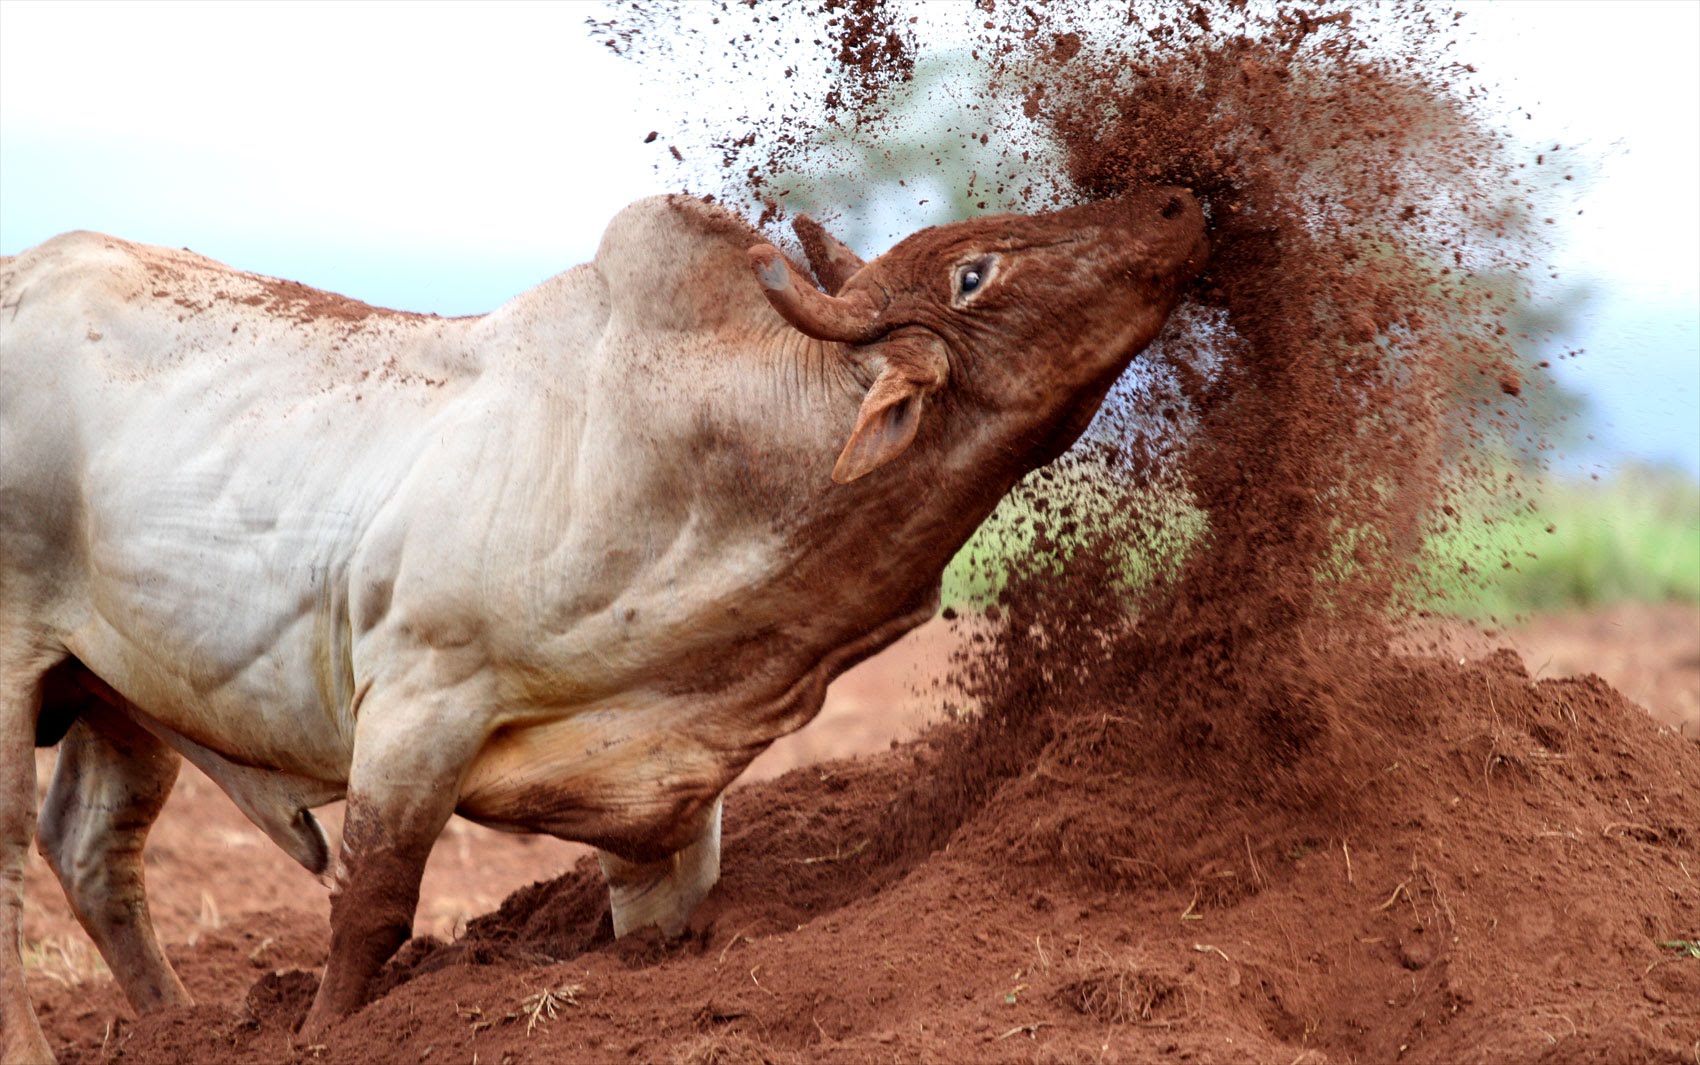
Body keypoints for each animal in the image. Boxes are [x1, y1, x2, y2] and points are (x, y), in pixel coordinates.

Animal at [0, 186, 1210, 1054]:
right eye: (975, 270)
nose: (1175, 203)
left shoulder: (669, 794)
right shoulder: (421, 699)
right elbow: (373, 908)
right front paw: (321, 1037)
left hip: (117, 694)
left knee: (93, 856)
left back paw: (173, 1029)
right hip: (17, 663)